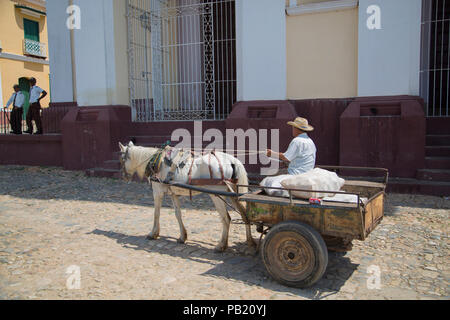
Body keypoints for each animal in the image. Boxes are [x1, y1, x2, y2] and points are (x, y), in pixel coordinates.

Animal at [118, 142, 255, 252]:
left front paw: (153, 234)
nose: (124, 177)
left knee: (226, 219)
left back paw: (221, 246)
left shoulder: (157, 192)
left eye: (122, 159)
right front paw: (182, 236)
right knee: (245, 215)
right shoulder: (173, 194)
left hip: (217, 195)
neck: (156, 162)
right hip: (234, 194)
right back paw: (250, 241)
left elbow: (156, 213)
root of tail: (232, 160)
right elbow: (178, 214)